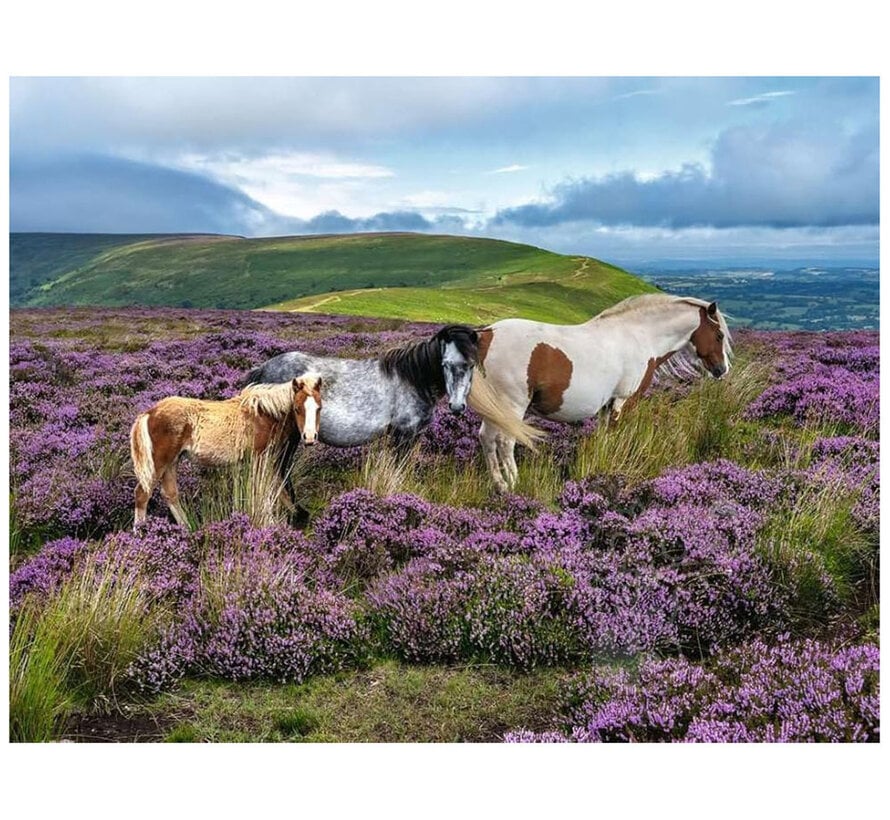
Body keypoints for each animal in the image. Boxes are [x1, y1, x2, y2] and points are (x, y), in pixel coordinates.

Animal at [130, 373, 323, 527]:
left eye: (319, 408)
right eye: (297, 408)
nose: (310, 437)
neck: (264, 414)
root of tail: (149, 413)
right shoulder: (260, 457)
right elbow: (264, 490)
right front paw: (269, 524)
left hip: (172, 461)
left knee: (170, 494)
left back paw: (187, 530)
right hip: (159, 462)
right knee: (142, 494)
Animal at [242, 324, 541, 470]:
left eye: (470, 364)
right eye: (445, 364)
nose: (457, 407)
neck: (413, 378)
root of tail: (262, 369)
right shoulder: (403, 434)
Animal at [472, 294, 733, 491]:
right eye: (719, 335)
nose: (722, 370)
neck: (640, 336)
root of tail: (487, 334)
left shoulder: (608, 405)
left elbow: (604, 436)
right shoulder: (623, 400)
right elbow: (615, 434)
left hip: (496, 409)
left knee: (486, 438)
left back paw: (499, 485)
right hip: (512, 406)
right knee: (505, 442)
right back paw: (514, 483)